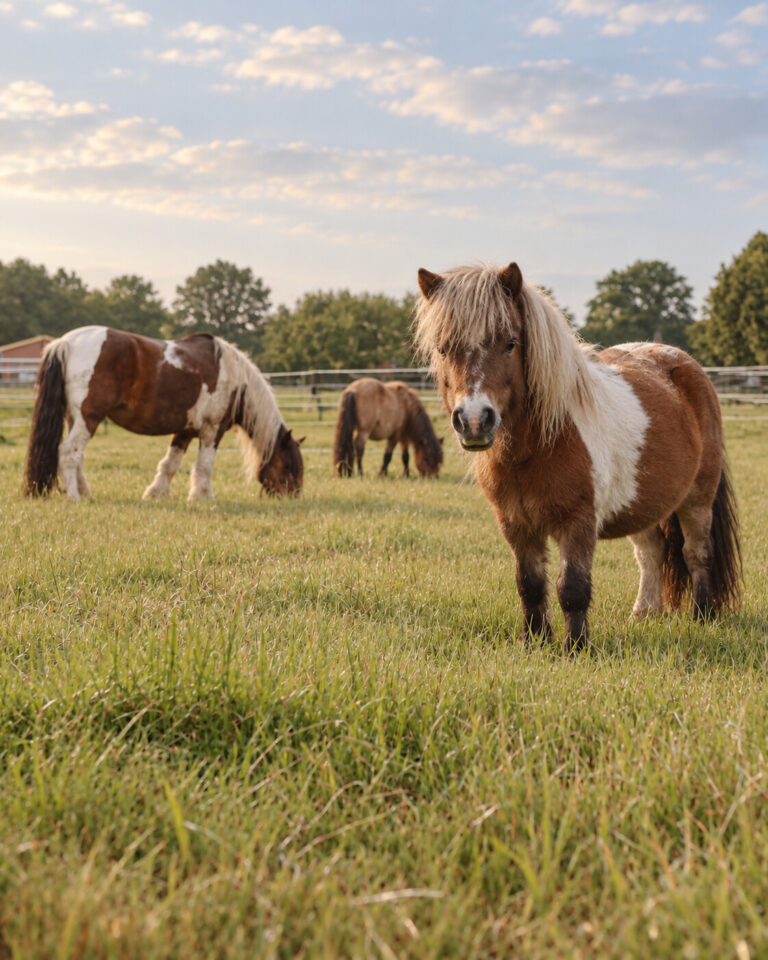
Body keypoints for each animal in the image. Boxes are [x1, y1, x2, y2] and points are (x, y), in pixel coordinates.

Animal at [24, 325, 304, 501]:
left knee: (77, 457)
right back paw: (74, 497)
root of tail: (65, 343)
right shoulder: (212, 430)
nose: (293, 496)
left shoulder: (185, 431)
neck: (235, 378)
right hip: (87, 419)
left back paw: (85, 493)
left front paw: (156, 492)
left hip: (75, 419)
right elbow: (204, 465)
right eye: (289, 465)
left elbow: (170, 463)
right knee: (68, 453)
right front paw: (203, 497)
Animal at [414, 261, 742, 653]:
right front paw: (535, 641)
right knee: (652, 553)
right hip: (643, 503)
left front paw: (576, 648)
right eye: (443, 349)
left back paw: (703, 616)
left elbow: (572, 587)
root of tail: (686, 365)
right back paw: (644, 614)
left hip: (697, 499)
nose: (475, 420)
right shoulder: (515, 524)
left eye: (510, 343)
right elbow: (530, 584)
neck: (536, 446)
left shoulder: (579, 522)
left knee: (697, 553)